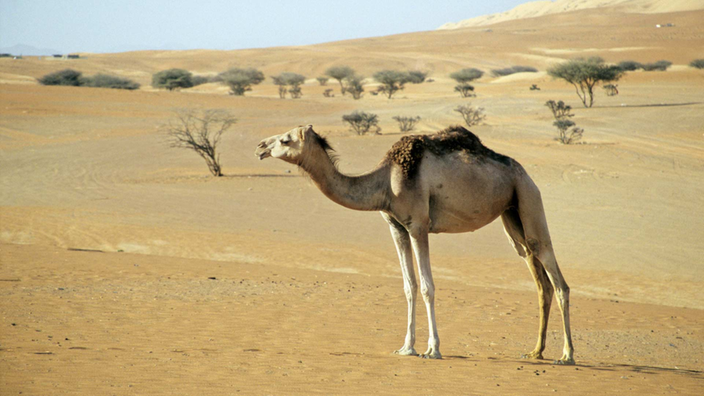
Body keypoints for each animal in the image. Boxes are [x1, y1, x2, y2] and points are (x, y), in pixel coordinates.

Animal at [256, 125, 576, 364]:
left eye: (285, 139)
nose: (260, 146)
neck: (385, 182)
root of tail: (524, 172)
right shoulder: (396, 227)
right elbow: (408, 286)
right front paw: (405, 348)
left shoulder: (418, 225)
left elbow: (426, 287)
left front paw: (432, 349)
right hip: (511, 214)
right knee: (536, 273)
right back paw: (536, 352)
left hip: (528, 196)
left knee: (555, 275)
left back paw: (566, 355)